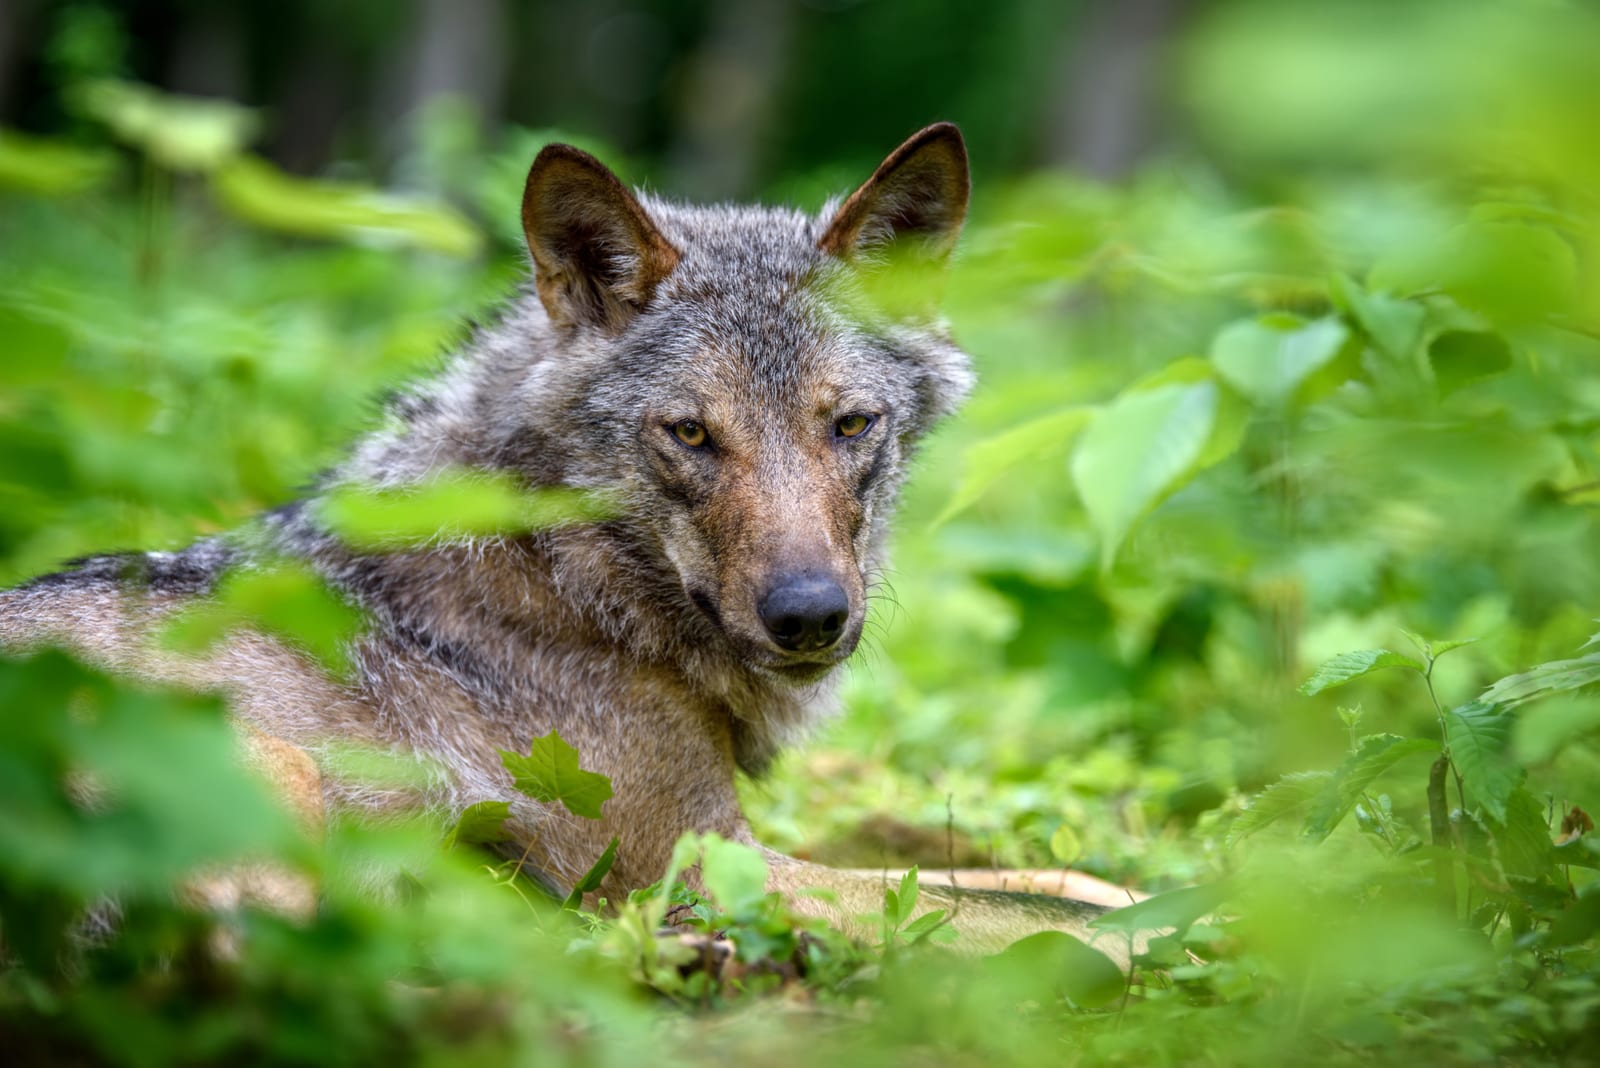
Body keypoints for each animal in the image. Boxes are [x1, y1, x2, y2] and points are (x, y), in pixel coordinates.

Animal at [0, 124, 1126, 956]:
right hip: (271, 782)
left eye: (850, 425)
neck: (573, 580)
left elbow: (1059, 882)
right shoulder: (702, 861)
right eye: (690, 434)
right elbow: (1023, 918)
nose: (809, 617)